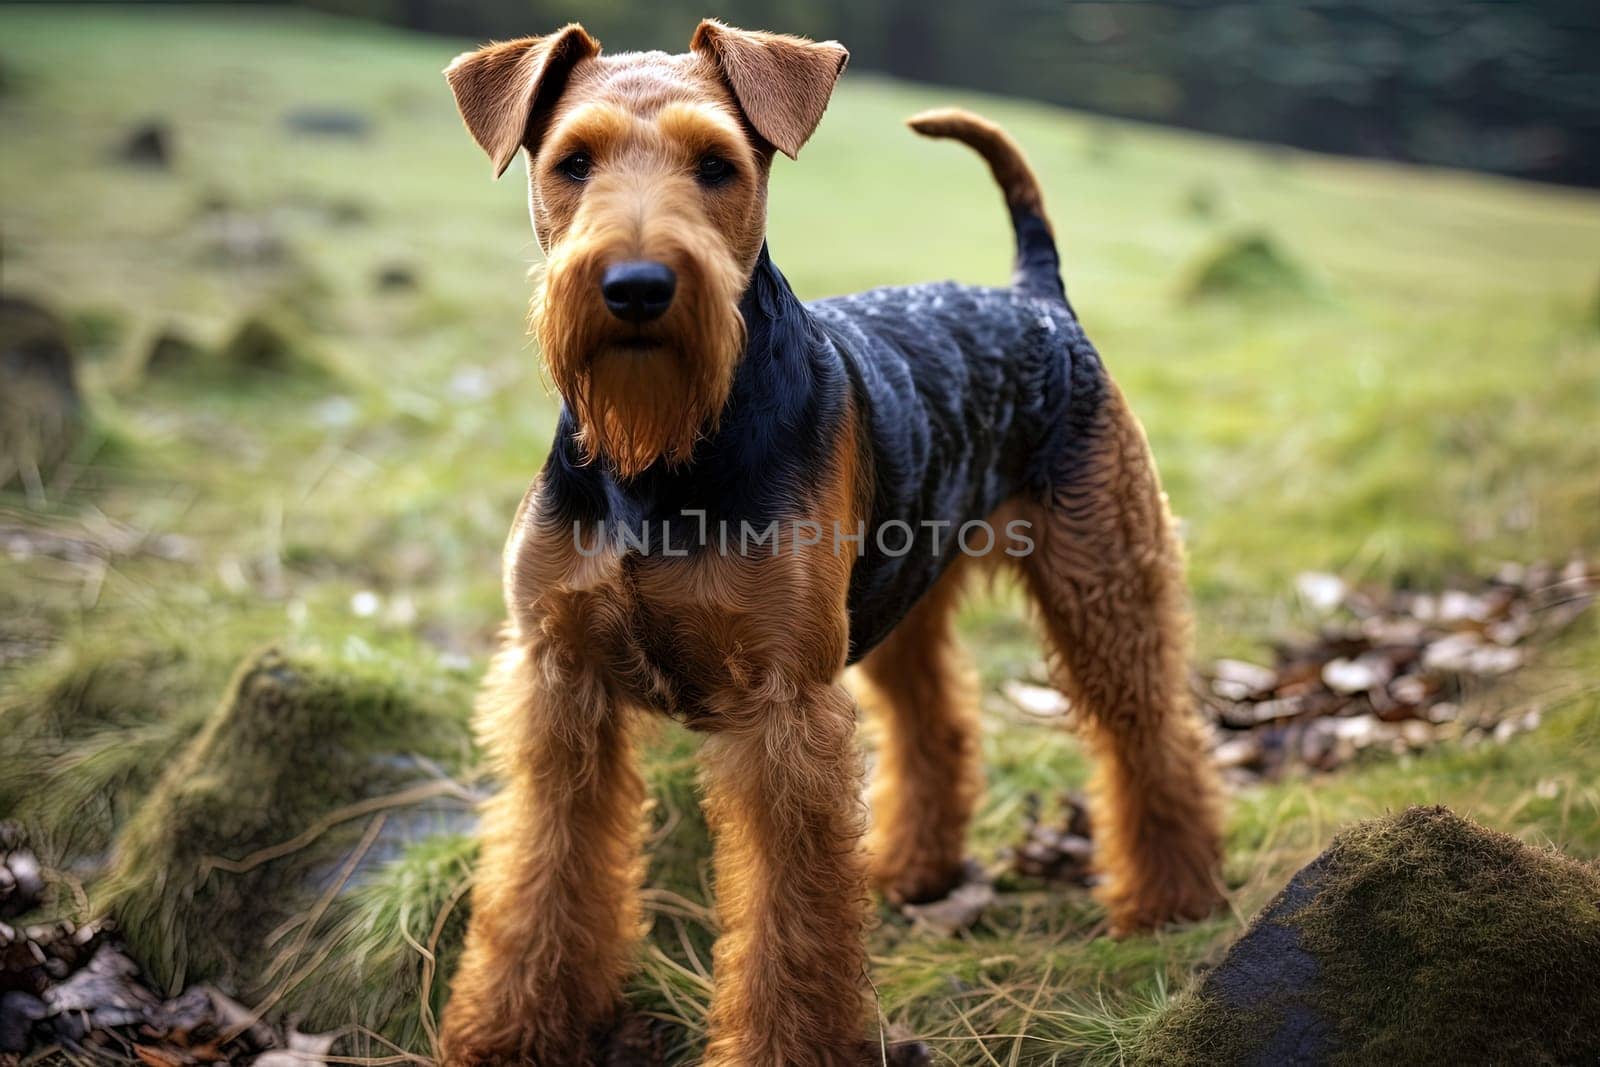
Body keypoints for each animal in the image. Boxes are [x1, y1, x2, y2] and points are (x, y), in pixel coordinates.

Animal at [438, 18, 1222, 1067]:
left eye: (716, 165)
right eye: (572, 162)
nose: (637, 287)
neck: (662, 456)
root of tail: (1038, 295)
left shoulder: (782, 708)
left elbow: (791, 921)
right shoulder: (562, 683)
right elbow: (542, 878)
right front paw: (509, 1030)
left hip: (1103, 578)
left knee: (1154, 737)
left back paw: (1172, 901)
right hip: (903, 589)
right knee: (938, 724)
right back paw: (913, 869)